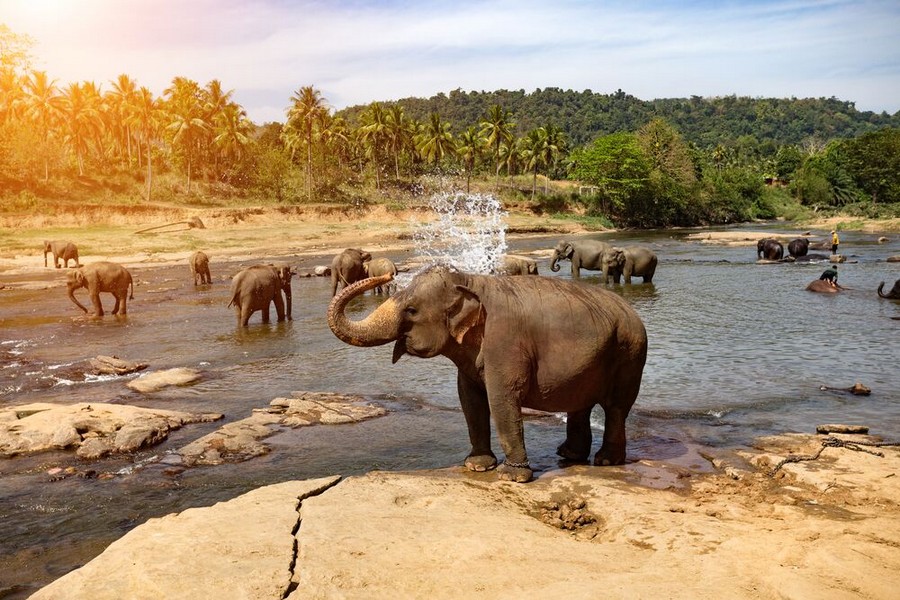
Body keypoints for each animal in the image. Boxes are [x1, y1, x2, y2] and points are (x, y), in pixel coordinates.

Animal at [327, 266, 648, 483]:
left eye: (411, 310)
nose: (387, 275)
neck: (469, 280)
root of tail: (631, 310)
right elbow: (469, 399)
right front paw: (477, 466)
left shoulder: (505, 342)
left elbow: (501, 398)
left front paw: (511, 477)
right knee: (580, 404)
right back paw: (569, 455)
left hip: (630, 353)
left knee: (616, 407)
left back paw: (605, 461)